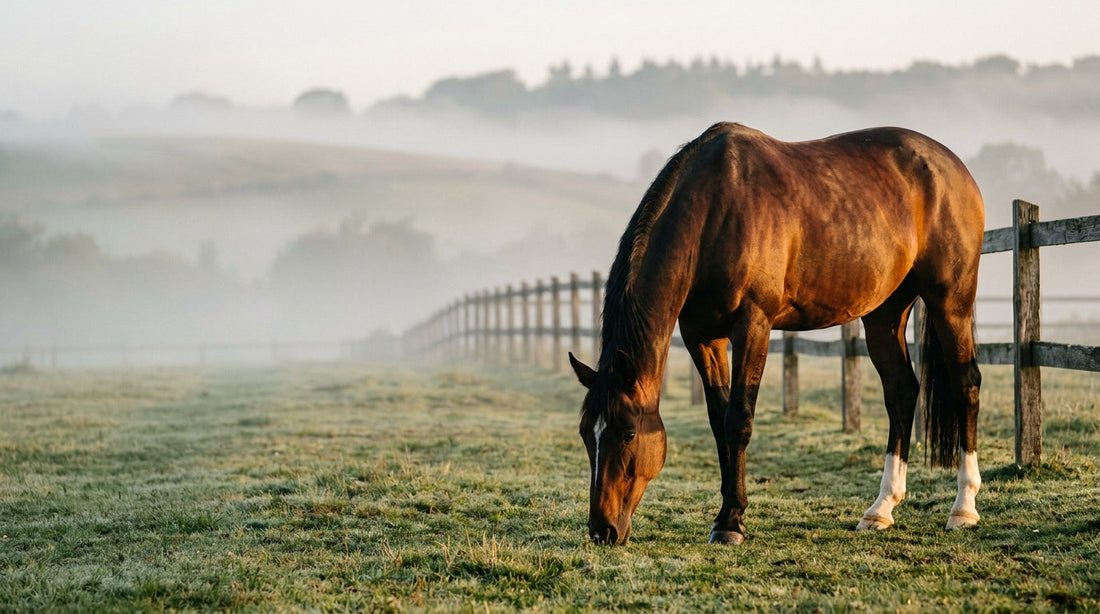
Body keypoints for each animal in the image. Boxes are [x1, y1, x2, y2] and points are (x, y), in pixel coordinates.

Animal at [569, 123, 984, 545]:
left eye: (628, 434)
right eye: (586, 433)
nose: (602, 530)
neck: (715, 211)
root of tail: (950, 165)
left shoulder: (754, 324)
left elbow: (738, 419)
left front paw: (731, 522)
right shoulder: (702, 336)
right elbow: (718, 421)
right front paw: (726, 510)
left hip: (950, 300)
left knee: (965, 384)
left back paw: (963, 507)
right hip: (885, 313)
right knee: (901, 392)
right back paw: (881, 509)